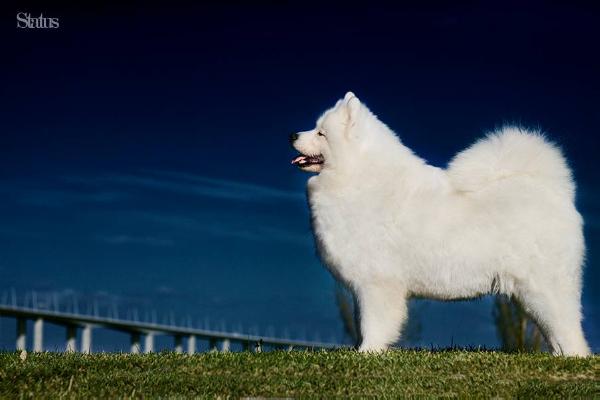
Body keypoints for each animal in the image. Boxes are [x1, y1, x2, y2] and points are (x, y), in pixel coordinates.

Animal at [290, 92, 592, 354]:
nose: (292, 134)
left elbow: (373, 323)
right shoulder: (363, 286)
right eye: (314, 128)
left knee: (568, 329)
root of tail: (554, 193)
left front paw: (368, 352)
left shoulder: (377, 283)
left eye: (321, 133)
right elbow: (362, 320)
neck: (358, 176)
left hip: (545, 288)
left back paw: (574, 357)